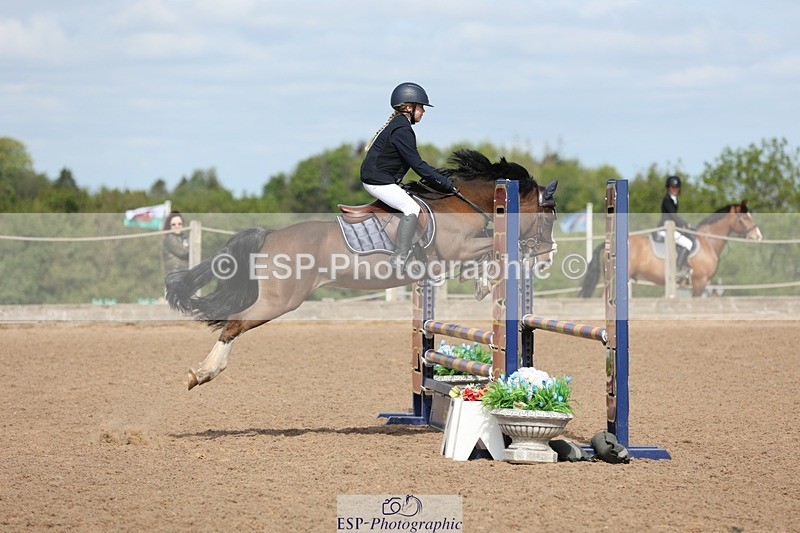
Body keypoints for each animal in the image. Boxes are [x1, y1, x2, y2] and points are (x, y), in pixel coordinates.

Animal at [166, 149, 559, 390]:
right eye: (548, 217)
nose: (547, 258)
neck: (461, 205)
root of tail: (270, 236)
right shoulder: (455, 250)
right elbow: (490, 250)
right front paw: (485, 281)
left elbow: (486, 254)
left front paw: (480, 281)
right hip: (280, 301)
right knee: (234, 324)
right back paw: (202, 373)